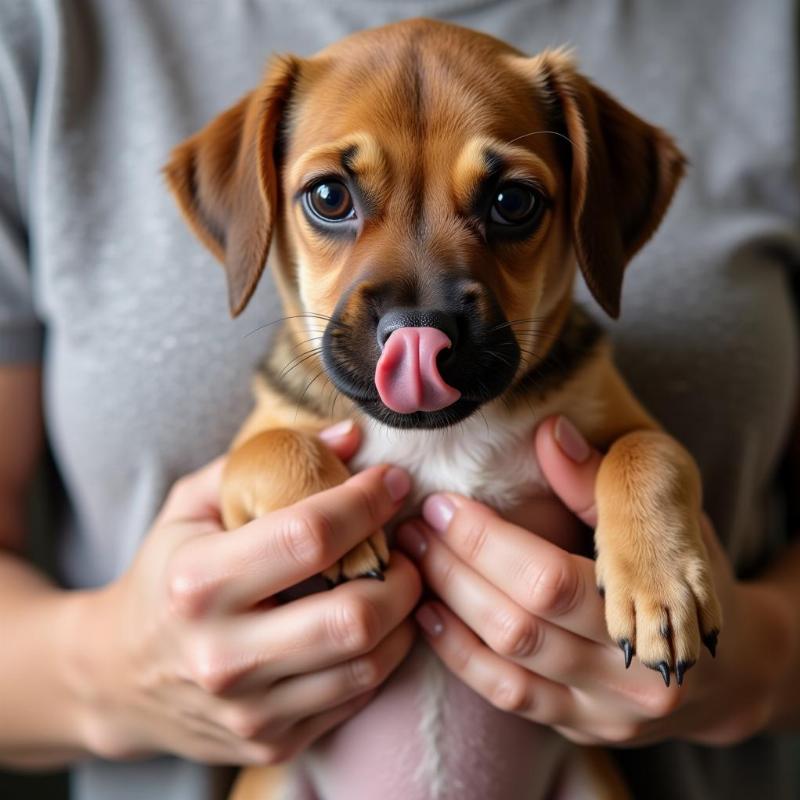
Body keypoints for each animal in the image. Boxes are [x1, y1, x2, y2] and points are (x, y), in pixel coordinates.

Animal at [166, 18, 720, 800]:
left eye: (512, 202)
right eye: (328, 197)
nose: (420, 330)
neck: (438, 437)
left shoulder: (621, 421)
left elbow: (651, 454)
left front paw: (660, 586)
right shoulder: (258, 445)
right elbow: (267, 449)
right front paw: (334, 534)